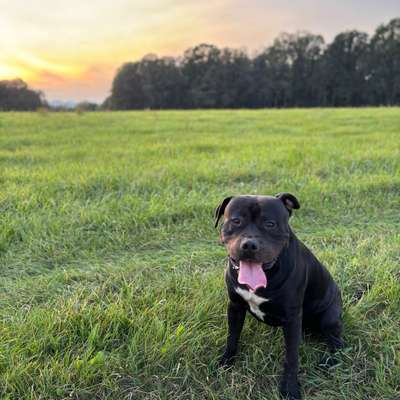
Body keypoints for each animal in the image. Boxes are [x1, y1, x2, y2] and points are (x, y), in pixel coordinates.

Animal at [216, 192, 344, 398]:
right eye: (236, 221)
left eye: (270, 224)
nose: (249, 245)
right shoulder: (235, 306)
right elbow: (232, 336)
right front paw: (226, 361)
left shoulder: (292, 318)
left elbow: (291, 357)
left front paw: (290, 388)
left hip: (329, 318)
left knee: (337, 342)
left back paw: (329, 362)